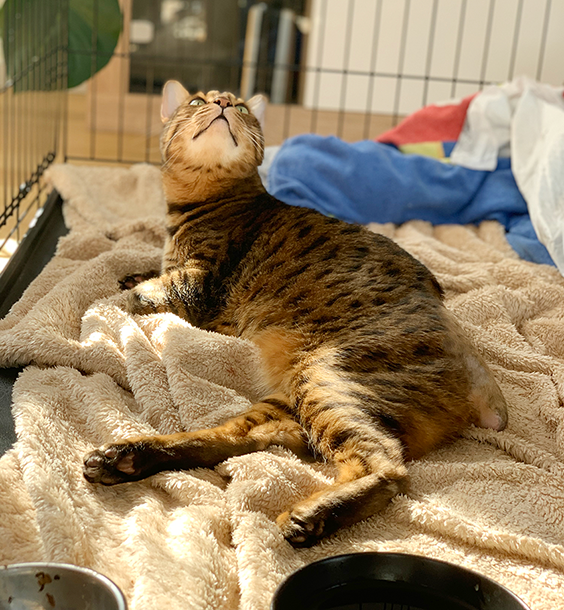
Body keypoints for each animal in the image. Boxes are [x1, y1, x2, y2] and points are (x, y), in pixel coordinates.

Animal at [81, 82, 508, 548]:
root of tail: (481, 380)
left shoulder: (197, 287)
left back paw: (311, 516)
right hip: (293, 401)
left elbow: (138, 297)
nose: (225, 103)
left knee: (386, 466)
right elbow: (144, 275)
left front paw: (115, 296)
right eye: (197, 101)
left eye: (243, 108)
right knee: (233, 439)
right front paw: (129, 274)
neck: (199, 198)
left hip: (328, 377)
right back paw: (125, 457)